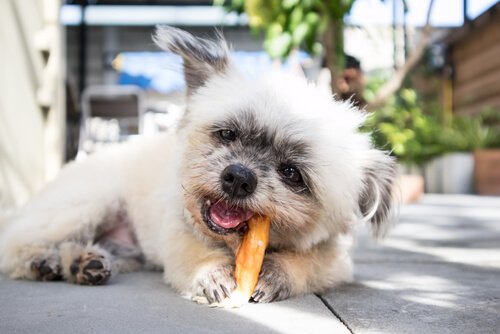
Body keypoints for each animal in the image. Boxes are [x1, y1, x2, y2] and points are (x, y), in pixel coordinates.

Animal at [0, 26, 398, 306]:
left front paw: (277, 273)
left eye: (291, 173)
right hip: (86, 205)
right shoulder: (178, 232)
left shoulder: (336, 260)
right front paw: (213, 274)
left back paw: (82, 263)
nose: (238, 177)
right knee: (15, 243)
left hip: (122, 246)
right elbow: (196, 254)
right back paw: (41, 261)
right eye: (227, 134)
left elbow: (311, 261)